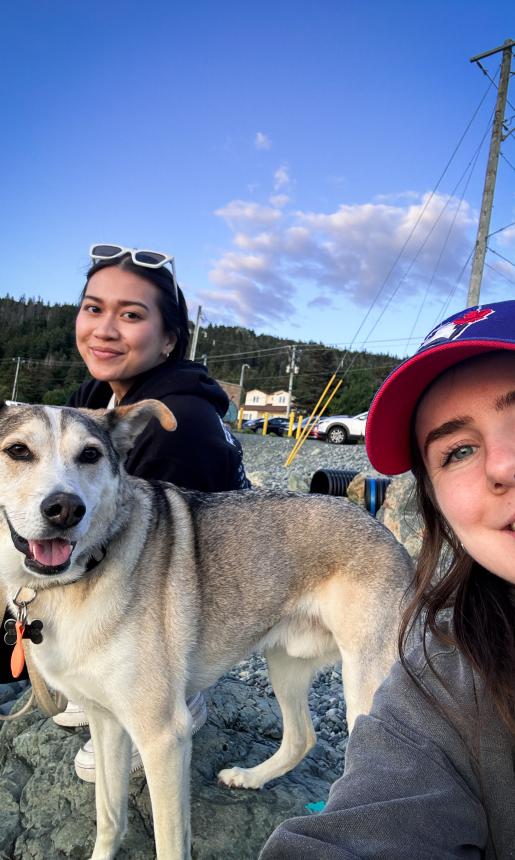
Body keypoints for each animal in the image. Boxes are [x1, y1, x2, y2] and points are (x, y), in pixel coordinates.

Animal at [0, 404, 414, 860]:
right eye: (17, 451)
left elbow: (169, 842)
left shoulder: (164, 738)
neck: (78, 576)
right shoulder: (106, 721)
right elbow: (109, 816)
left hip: (366, 689)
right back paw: (250, 777)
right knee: (301, 738)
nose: (65, 509)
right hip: (285, 663)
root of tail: (391, 538)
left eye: (90, 455)